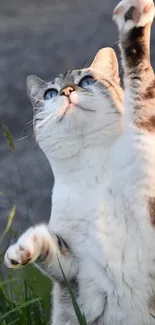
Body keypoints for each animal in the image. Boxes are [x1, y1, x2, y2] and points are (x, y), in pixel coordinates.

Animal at [3, 46, 123, 324]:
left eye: (86, 81)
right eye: (50, 94)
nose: (67, 91)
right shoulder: (75, 270)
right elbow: (47, 243)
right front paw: (19, 251)